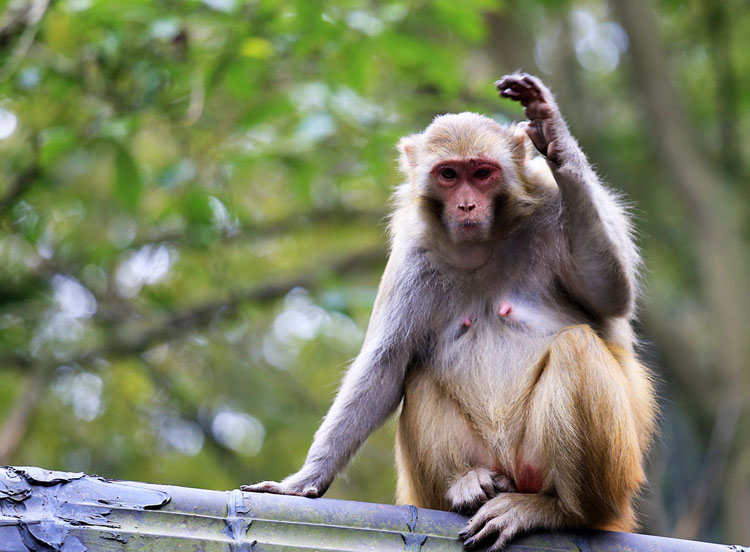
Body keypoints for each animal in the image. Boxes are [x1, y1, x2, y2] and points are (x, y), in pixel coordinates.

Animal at [244, 74, 656, 552]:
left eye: (481, 173)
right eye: (448, 174)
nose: (466, 205)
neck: (486, 243)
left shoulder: (553, 206)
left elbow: (609, 293)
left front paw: (555, 137)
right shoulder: (413, 257)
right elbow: (386, 365)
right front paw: (305, 480)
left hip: (604, 477)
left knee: (577, 347)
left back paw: (561, 510)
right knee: (418, 371)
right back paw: (466, 484)